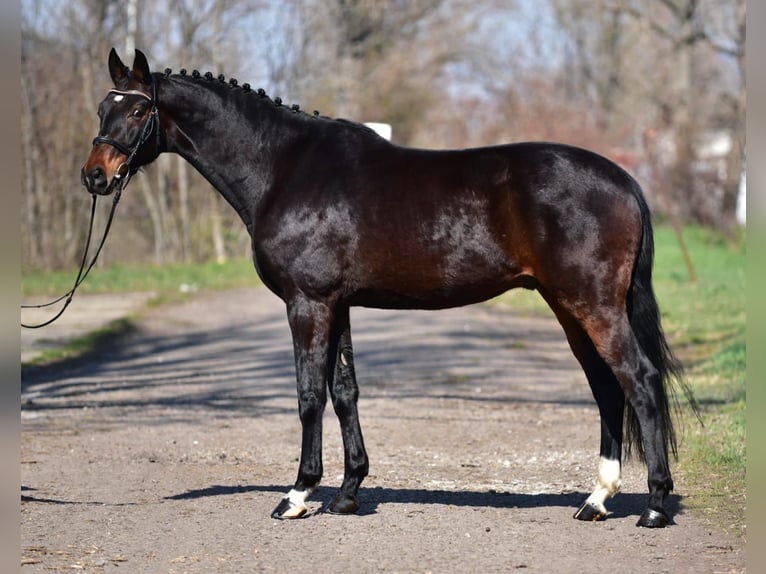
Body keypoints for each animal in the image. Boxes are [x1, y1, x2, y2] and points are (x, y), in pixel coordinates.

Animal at [81, 48, 693, 528]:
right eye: (102, 108)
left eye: (138, 108)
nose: (94, 176)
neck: (284, 166)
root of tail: (624, 180)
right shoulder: (338, 304)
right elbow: (345, 392)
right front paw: (349, 493)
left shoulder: (308, 304)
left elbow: (308, 394)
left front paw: (298, 495)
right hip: (570, 308)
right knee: (606, 387)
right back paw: (597, 500)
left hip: (592, 305)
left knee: (638, 381)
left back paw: (653, 506)